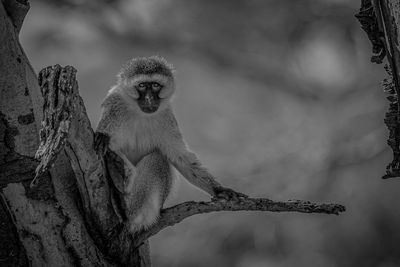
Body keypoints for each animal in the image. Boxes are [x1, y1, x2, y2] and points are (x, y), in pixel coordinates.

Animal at [94, 56, 247, 232]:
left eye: (155, 85)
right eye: (141, 85)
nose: (149, 99)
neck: (139, 112)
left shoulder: (167, 117)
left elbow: (181, 158)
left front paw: (220, 190)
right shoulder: (113, 106)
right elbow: (110, 142)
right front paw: (104, 139)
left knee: (157, 158)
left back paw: (128, 206)